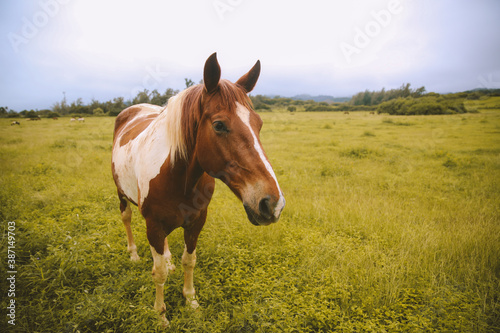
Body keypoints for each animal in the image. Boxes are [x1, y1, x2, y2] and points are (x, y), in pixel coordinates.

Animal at [112, 52, 288, 324]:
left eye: (258, 124)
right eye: (218, 125)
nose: (273, 203)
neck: (177, 176)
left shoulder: (196, 222)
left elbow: (189, 261)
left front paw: (191, 301)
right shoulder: (153, 226)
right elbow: (158, 272)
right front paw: (161, 316)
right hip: (122, 196)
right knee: (126, 218)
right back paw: (133, 254)